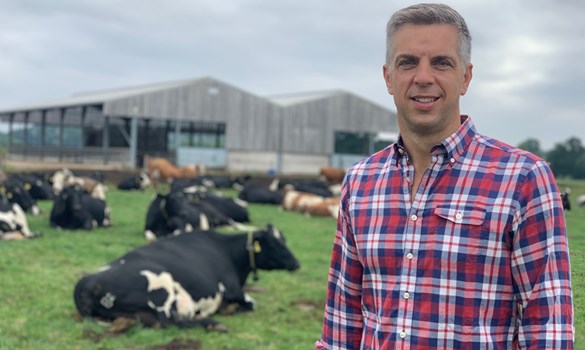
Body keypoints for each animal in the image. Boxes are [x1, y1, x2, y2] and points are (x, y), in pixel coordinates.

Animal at [72, 224, 298, 330]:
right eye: (275, 243)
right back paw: (214, 323)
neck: (229, 253)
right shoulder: (233, 289)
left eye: (285, 240)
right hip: (162, 292)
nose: (297, 263)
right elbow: (251, 303)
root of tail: (86, 281)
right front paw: (230, 308)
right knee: (172, 322)